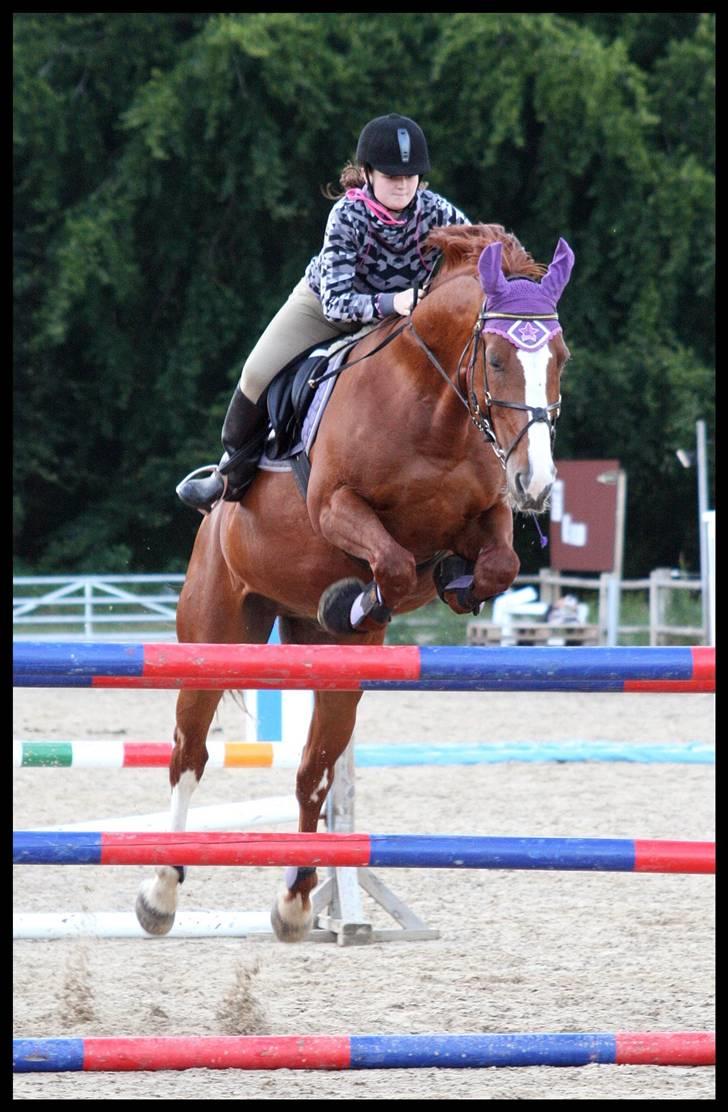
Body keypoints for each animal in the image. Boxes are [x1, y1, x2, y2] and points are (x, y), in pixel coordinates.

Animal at [135, 221, 573, 942]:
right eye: (497, 358)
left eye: (559, 356)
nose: (536, 484)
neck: (435, 414)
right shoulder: (336, 506)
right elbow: (390, 564)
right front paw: (357, 596)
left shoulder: (489, 515)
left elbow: (496, 565)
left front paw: (449, 581)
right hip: (215, 629)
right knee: (189, 755)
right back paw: (160, 893)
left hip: (337, 670)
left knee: (313, 771)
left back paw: (296, 900)